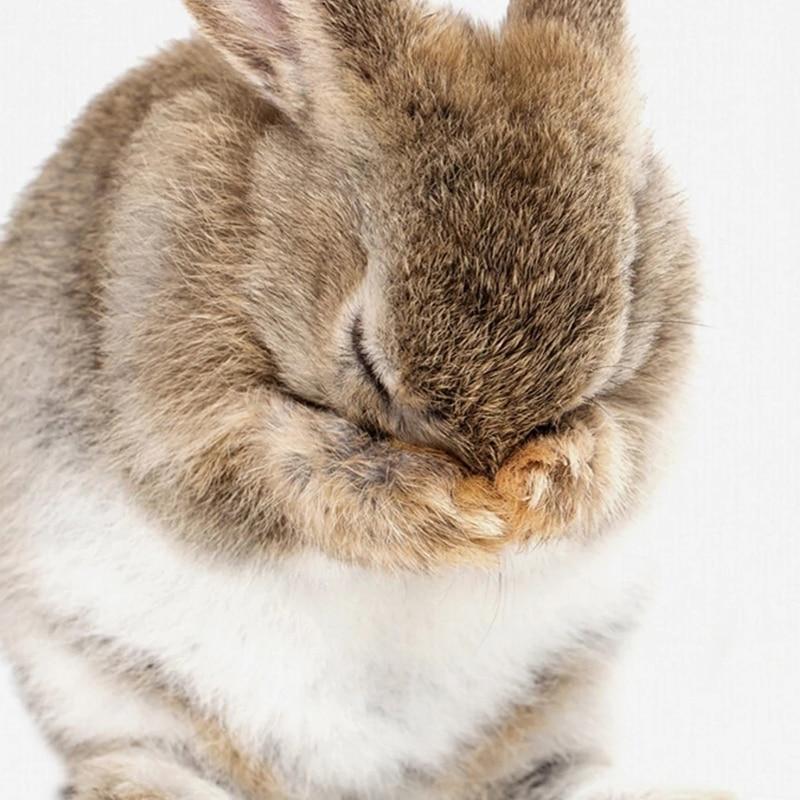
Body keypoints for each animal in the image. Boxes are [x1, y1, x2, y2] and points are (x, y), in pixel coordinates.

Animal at [0, 0, 720, 798]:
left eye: (618, 326)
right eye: (365, 358)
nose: (494, 477)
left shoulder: (652, 402)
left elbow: (619, 450)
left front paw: (541, 488)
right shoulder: (183, 405)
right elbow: (292, 474)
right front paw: (453, 513)